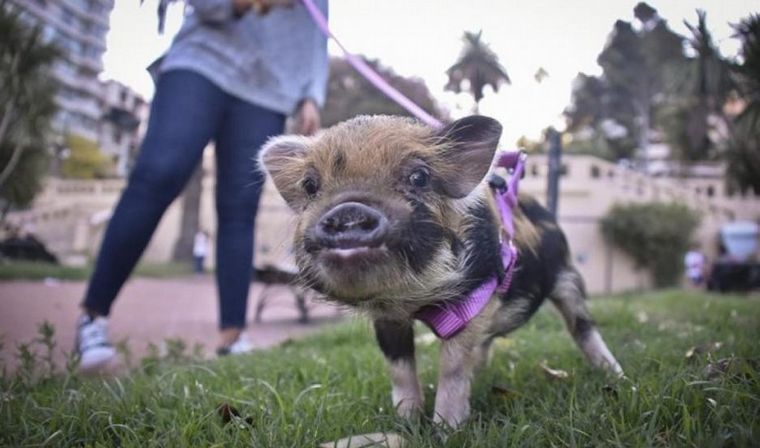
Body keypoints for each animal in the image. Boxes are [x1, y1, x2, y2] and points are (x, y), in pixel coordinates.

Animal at [259, 115, 623, 427]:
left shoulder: (476, 297)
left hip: (567, 276)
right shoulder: (387, 318)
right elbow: (400, 368)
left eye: (419, 177)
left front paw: (446, 429)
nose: (348, 209)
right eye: (310, 185)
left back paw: (617, 377)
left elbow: (452, 367)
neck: (416, 300)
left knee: (583, 327)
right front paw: (405, 422)